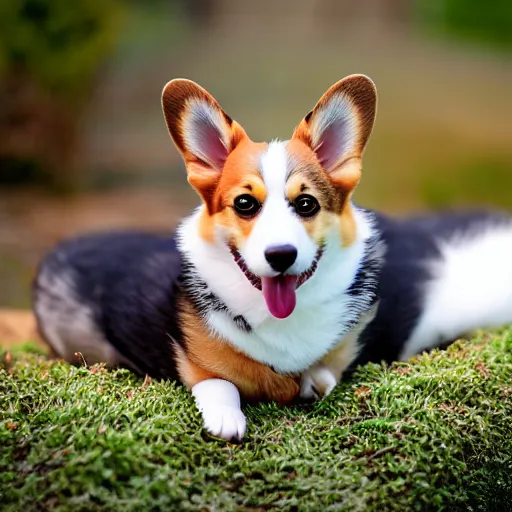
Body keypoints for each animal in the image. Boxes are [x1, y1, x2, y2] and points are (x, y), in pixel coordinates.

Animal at [33, 75, 512, 440]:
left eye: (307, 204)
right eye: (245, 204)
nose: (281, 255)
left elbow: (327, 371)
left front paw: (313, 380)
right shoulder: (196, 366)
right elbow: (218, 382)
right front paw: (227, 417)